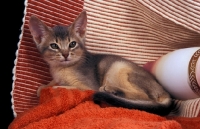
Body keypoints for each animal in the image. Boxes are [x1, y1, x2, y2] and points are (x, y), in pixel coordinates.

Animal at [28, 10, 173, 115]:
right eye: (54, 46)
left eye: (72, 44)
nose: (65, 54)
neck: (61, 68)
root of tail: (164, 91)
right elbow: (51, 83)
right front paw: (44, 86)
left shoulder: (88, 86)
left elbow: (71, 87)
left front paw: (53, 87)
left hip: (117, 66)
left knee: (144, 96)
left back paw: (111, 90)